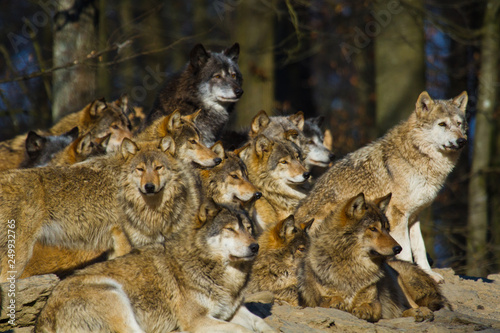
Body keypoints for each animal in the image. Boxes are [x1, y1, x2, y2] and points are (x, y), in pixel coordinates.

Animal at [35, 204, 278, 330]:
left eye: (248, 229)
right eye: (230, 229)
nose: (255, 246)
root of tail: (44, 317)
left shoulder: (232, 311)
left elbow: (262, 324)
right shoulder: (196, 321)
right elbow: (242, 329)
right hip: (113, 293)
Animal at [294, 89, 466, 282]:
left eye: (459, 124)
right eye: (442, 124)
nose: (462, 141)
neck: (416, 156)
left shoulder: (414, 216)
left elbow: (420, 248)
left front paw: (427, 274)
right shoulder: (398, 215)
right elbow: (406, 252)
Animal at [298, 193, 448, 320]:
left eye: (387, 228)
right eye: (373, 228)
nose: (398, 248)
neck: (353, 268)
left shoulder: (375, 302)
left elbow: (369, 305)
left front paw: (363, 310)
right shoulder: (313, 301)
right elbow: (327, 299)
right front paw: (336, 301)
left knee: (412, 307)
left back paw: (421, 312)